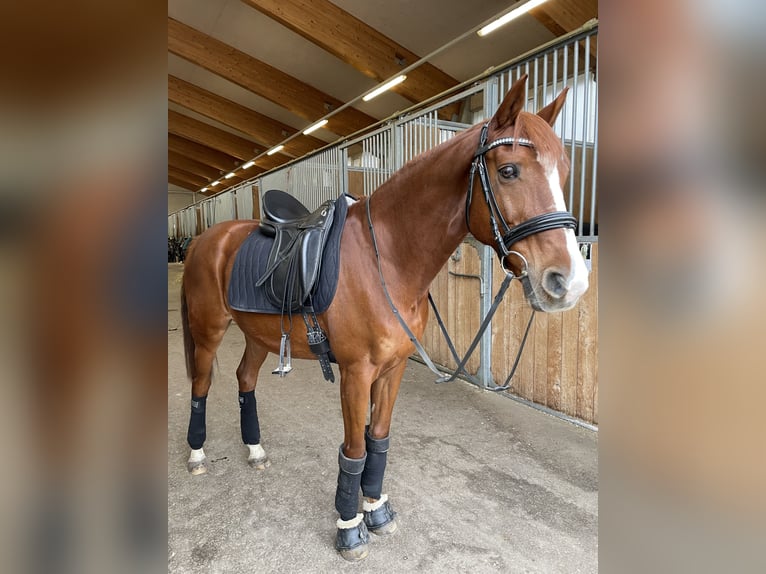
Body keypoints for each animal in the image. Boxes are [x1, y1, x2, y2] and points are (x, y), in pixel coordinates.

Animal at [179, 74, 589, 561]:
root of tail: (207, 238)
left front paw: (375, 511)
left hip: (258, 335)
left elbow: (378, 440)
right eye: (509, 171)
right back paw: (197, 456)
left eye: (565, 172)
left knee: (245, 379)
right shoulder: (357, 373)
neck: (388, 259)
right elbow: (354, 449)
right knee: (202, 385)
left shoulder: (391, 371)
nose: (570, 280)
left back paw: (256, 450)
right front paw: (349, 527)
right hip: (208, 331)